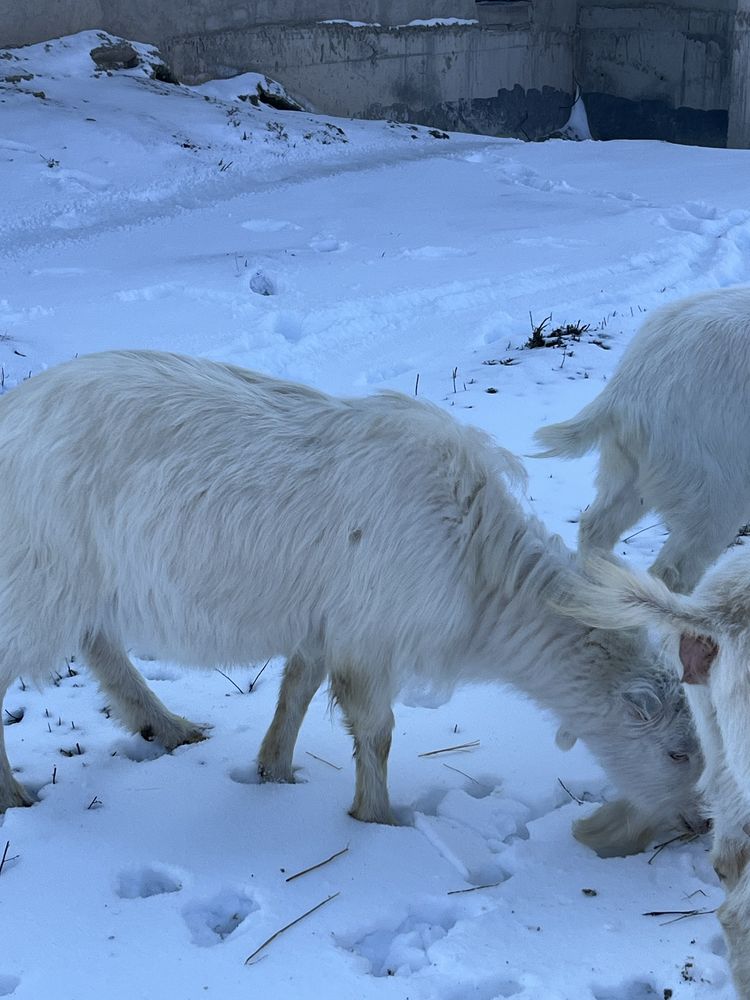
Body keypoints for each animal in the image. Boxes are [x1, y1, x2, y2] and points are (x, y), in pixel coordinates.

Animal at [0, 348, 704, 856]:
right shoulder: (370, 637)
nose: (697, 822)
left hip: (74, 580)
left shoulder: (325, 624)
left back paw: (165, 726)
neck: (480, 570)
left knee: (99, 642)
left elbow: (295, 691)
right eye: (677, 753)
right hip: (36, 576)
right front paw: (378, 820)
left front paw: (275, 772)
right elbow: (376, 731)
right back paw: (14, 797)